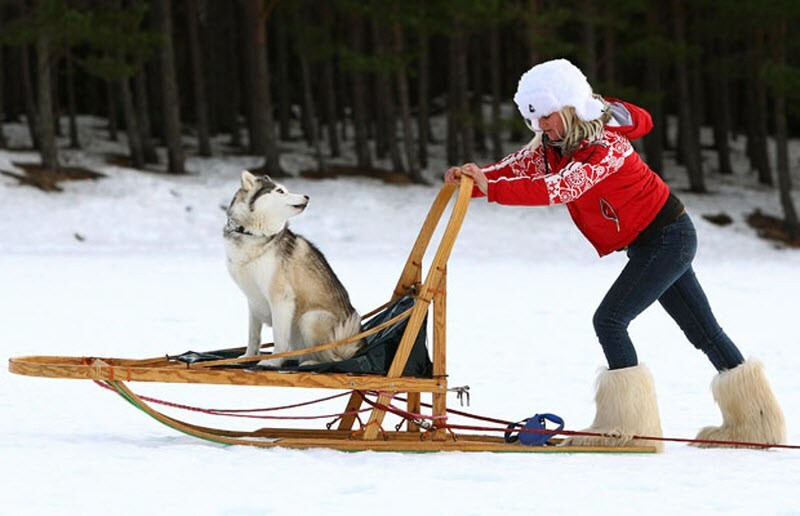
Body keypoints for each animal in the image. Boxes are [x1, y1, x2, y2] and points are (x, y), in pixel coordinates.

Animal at [223, 171, 364, 364]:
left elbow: (279, 339)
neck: (254, 235)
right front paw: (248, 357)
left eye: (285, 189)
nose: (307, 196)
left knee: (332, 358)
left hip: (310, 318)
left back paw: (311, 362)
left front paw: (272, 362)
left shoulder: (282, 299)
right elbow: (253, 337)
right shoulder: (253, 300)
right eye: (280, 191)